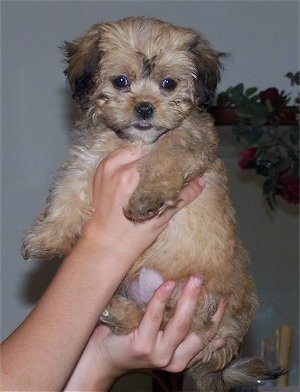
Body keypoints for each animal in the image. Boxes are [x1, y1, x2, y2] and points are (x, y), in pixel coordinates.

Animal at [21, 16, 284, 390]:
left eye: (168, 84)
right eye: (120, 81)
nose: (144, 107)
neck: (134, 141)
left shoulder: (187, 139)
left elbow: (165, 155)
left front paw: (146, 198)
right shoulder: (87, 160)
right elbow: (66, 194)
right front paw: (47, 237)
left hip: (200, 297)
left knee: (163, 321)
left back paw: (118, 312)